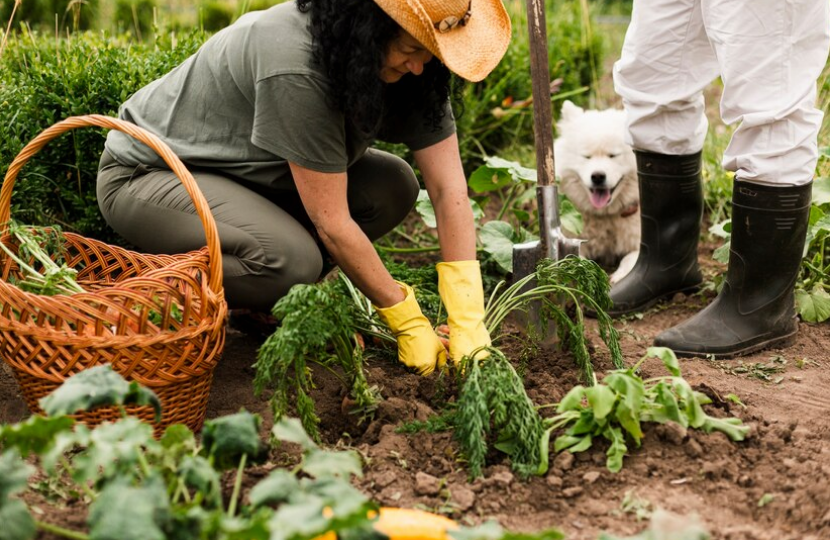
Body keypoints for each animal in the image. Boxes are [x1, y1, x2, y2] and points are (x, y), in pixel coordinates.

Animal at [556, 100, 640, 282]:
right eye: (586, 157)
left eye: (613, 155)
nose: (598, 176)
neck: (605, 215)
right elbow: (577, 261)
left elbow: (632, 259)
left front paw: (620, 276)